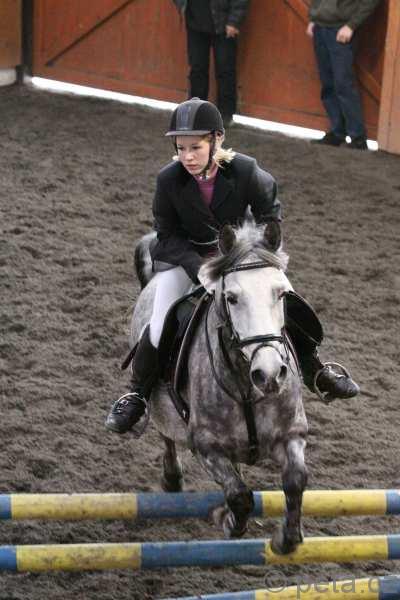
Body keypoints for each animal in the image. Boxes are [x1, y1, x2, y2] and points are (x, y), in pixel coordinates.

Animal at [130, 219, 308, 554]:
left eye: (281, 294)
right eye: (232, 298)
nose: (269, 374)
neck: (247, 385)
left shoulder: (291, 434)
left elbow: (296, 479)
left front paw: (286, 539)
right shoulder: (207, 446)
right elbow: (239, 495)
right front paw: (225, 519)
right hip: (161, 407)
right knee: (166, 434)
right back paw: (172, 478)